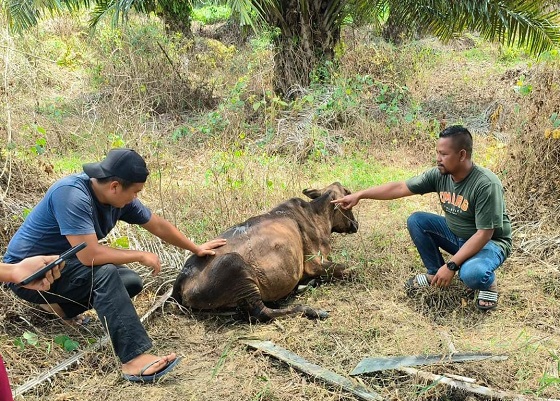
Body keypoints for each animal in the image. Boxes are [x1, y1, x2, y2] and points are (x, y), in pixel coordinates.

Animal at [171, 181, 358, 322]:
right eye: (347, 194)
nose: (356, 225)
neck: (316, 215)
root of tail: (180, 281)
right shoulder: (315, 263)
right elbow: (351, 270)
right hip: (235, 266)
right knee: (262, 313)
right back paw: (311, 309)